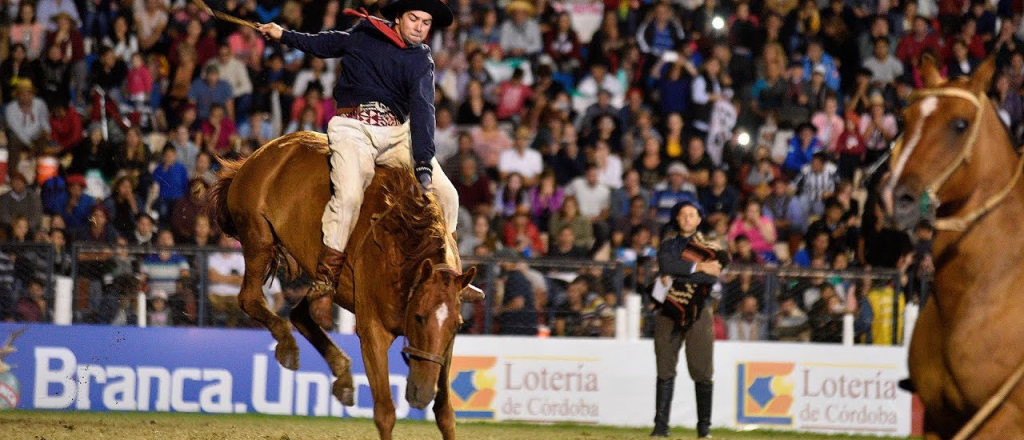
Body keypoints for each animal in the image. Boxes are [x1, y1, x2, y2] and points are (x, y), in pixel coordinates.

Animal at [210, 130, 479, 440]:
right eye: (419, 317)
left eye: (457, 324)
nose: (421, 394)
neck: (402, 248)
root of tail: (255, 158)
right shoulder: (372, 332)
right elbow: (385, 412)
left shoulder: (445, 346)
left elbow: (445, 412)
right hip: (258, 237)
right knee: (250, 299)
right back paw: (288, 346)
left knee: (300, 314)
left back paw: (342, 375)